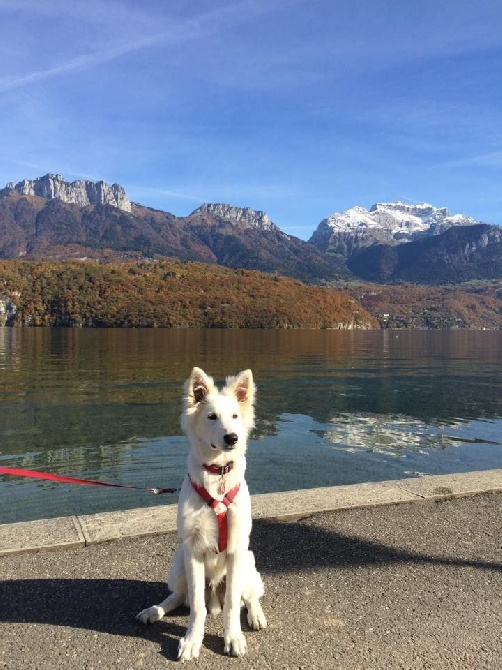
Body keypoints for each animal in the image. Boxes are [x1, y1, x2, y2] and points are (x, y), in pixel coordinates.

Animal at [135, 370, 264, 664]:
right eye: (212, 416)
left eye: (235, 416)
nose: (232, 438)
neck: (217, 477)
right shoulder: (193, 550)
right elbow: (196, 606)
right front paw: (193, 640)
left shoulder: (237, 550)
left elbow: (232, 605)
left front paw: (233, 638)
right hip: (179, 563)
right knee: (178, 597)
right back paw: (154, 611)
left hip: (248, 562)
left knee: (249, 596)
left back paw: (256, 615)